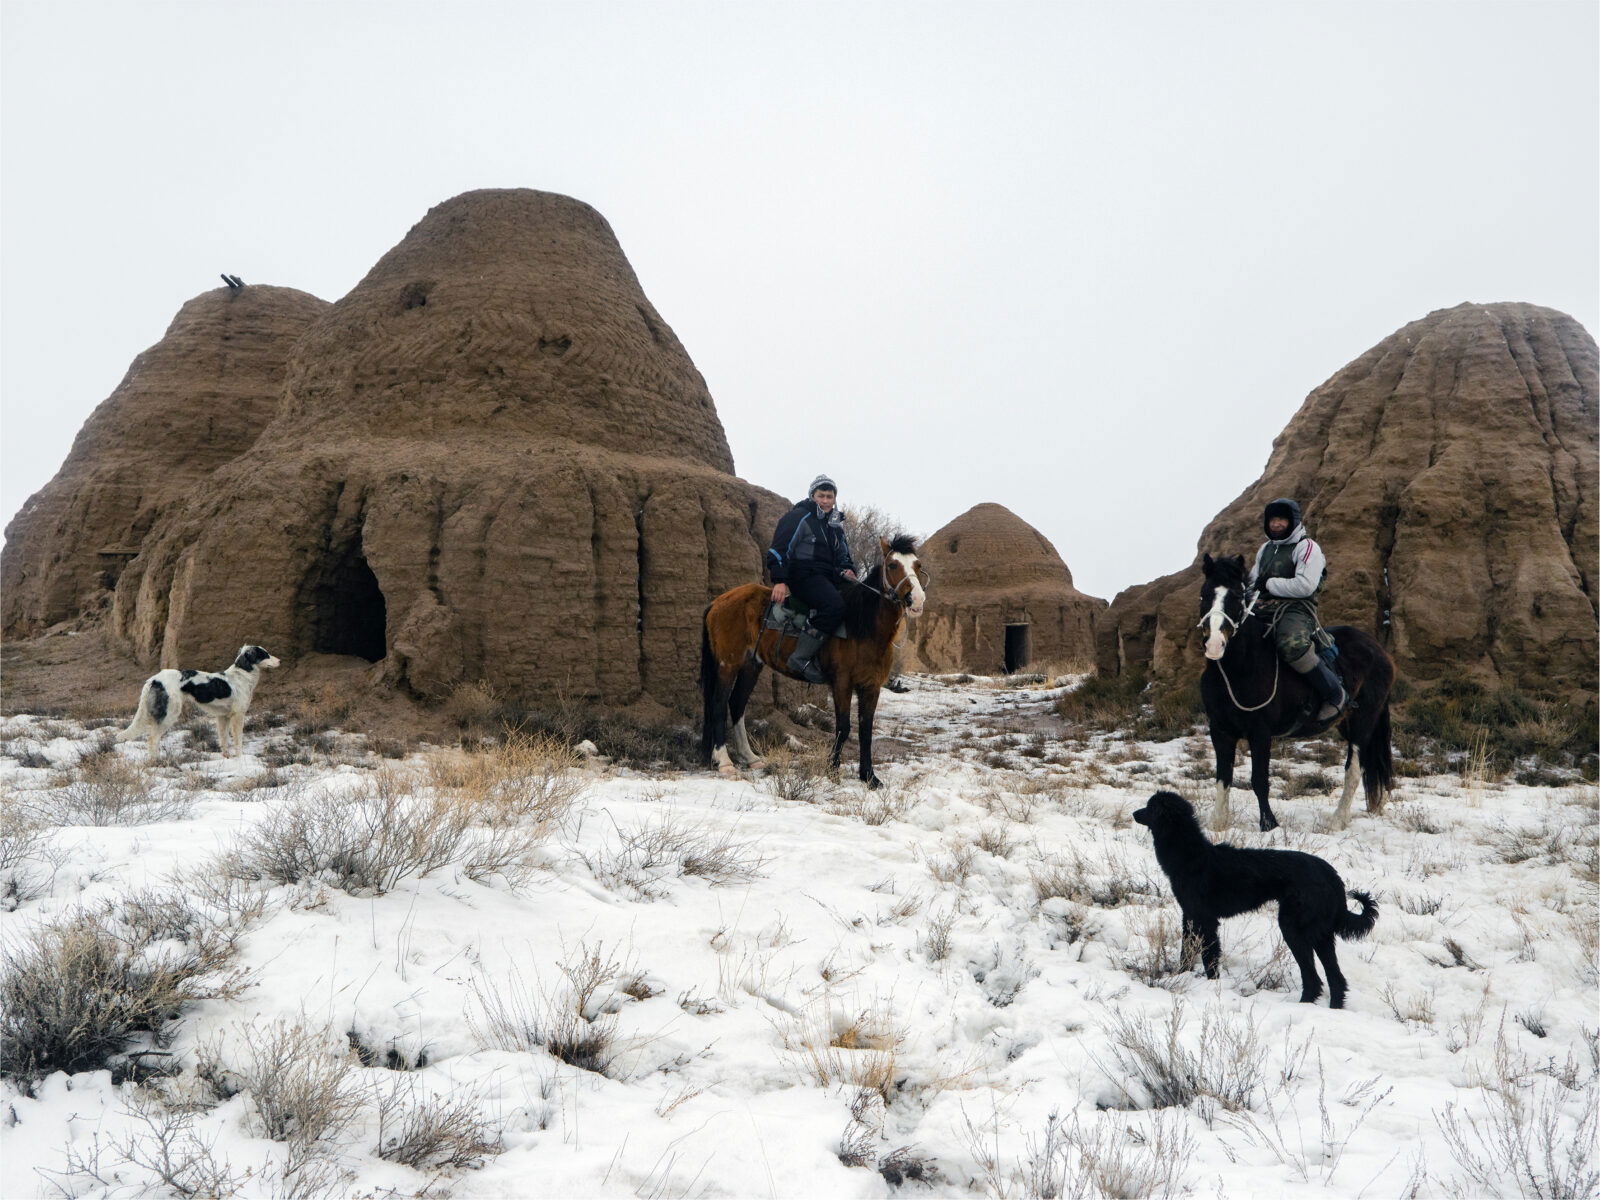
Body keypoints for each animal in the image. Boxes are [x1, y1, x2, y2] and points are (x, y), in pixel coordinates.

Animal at [117, 649, 281, 761]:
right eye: (265, 654)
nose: (280, 661)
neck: (242, 675)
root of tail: (154, 679)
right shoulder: (238, 716)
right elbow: (238, 741)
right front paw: (239, 759)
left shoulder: (223, 717)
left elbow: (224, 740)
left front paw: (227, 757)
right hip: (169, 714)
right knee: (152, 739)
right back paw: (157, 761)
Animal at [700, 534, 928, 790]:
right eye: (892, 565)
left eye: (918, 565)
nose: (916, 599)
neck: (862, 627)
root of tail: (718, 602)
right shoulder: (841, 683)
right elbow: (843, 728)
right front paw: (832, 771)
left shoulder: (871, 687)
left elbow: (866, 731)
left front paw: (869, 777)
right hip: (727, 665)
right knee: (719, 704)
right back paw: (724, 761)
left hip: (751, 665)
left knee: (737, 704)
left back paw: (750, 757)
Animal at [1132, 793, 1382, 1011]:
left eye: (1150, 807)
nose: (1134, 813)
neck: (1191, 855)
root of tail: (1331, 874)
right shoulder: (1190, 917)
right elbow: (1186, 952)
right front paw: (1181, 976)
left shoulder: (1206, 919)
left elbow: (1209, 957)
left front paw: (1211, 986)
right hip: (1321, 934)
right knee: (1336, 979)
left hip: (1294, 928)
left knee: (1313, 978)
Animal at [1203, 556, 1388, 832]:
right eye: (1205, 594)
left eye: (1236, 597)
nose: (1215, 644)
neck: (1239, 668)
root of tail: (1378, 650)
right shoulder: (1220, 731)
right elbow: (1223, 778)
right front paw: (1218, 824)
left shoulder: (1260, 733)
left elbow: (1259, 780)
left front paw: (1269, 825)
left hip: (1363, 724)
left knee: (1354, 770)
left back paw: (1337, 821)